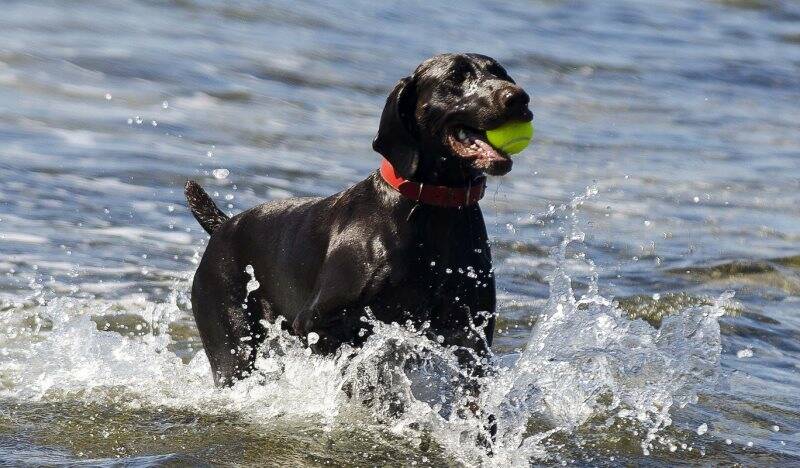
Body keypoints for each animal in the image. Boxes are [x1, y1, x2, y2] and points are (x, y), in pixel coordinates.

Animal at [184, 53, 528, 388]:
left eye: (501, 73)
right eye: (456, 76)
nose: (519, 98)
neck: (434, 209)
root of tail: (223, 226)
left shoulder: (469, 339)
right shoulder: (317, 322)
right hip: (233, 345)